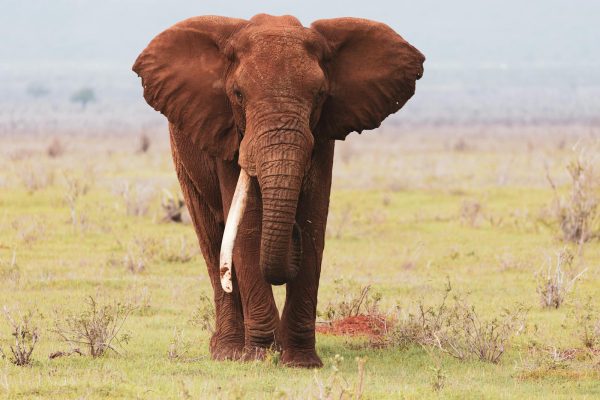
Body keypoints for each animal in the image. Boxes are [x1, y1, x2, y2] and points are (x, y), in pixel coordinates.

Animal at [135, 14, 426, 368]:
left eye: (320, 94)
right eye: (237, 94)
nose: (292, 236)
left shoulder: (322, 134)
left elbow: (315, 221)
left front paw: (300, 362)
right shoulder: (229, 133)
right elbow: (247, 229)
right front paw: (259, 356)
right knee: (212, 239)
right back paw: (229, 352)